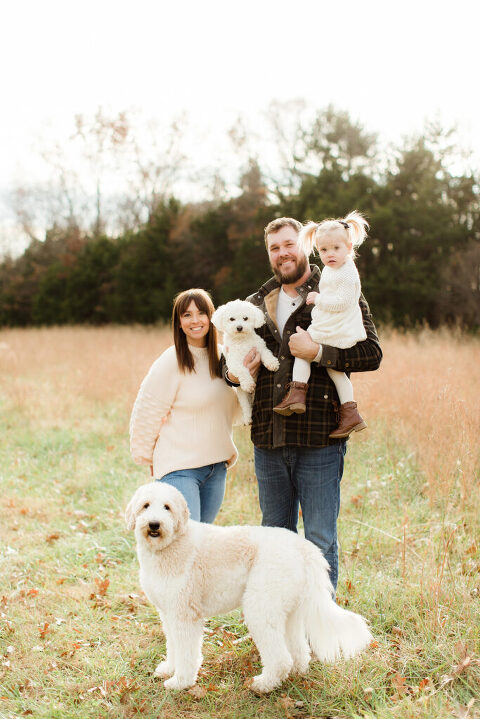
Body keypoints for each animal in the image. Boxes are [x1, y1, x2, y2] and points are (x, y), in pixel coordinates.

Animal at [125, 482, 373, 694]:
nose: (154, 524)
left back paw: (263, 685)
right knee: (298, 649)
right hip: (287, 610)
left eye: (167, 507)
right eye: (146, 505)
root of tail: (304, 547)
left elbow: (187, 652)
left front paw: (180, 682)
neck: (172, 544)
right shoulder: (168, 614)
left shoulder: (185, 615)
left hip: (260, 607)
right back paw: (295, 673)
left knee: (280, 658)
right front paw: (168, 669)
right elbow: (173, 645)